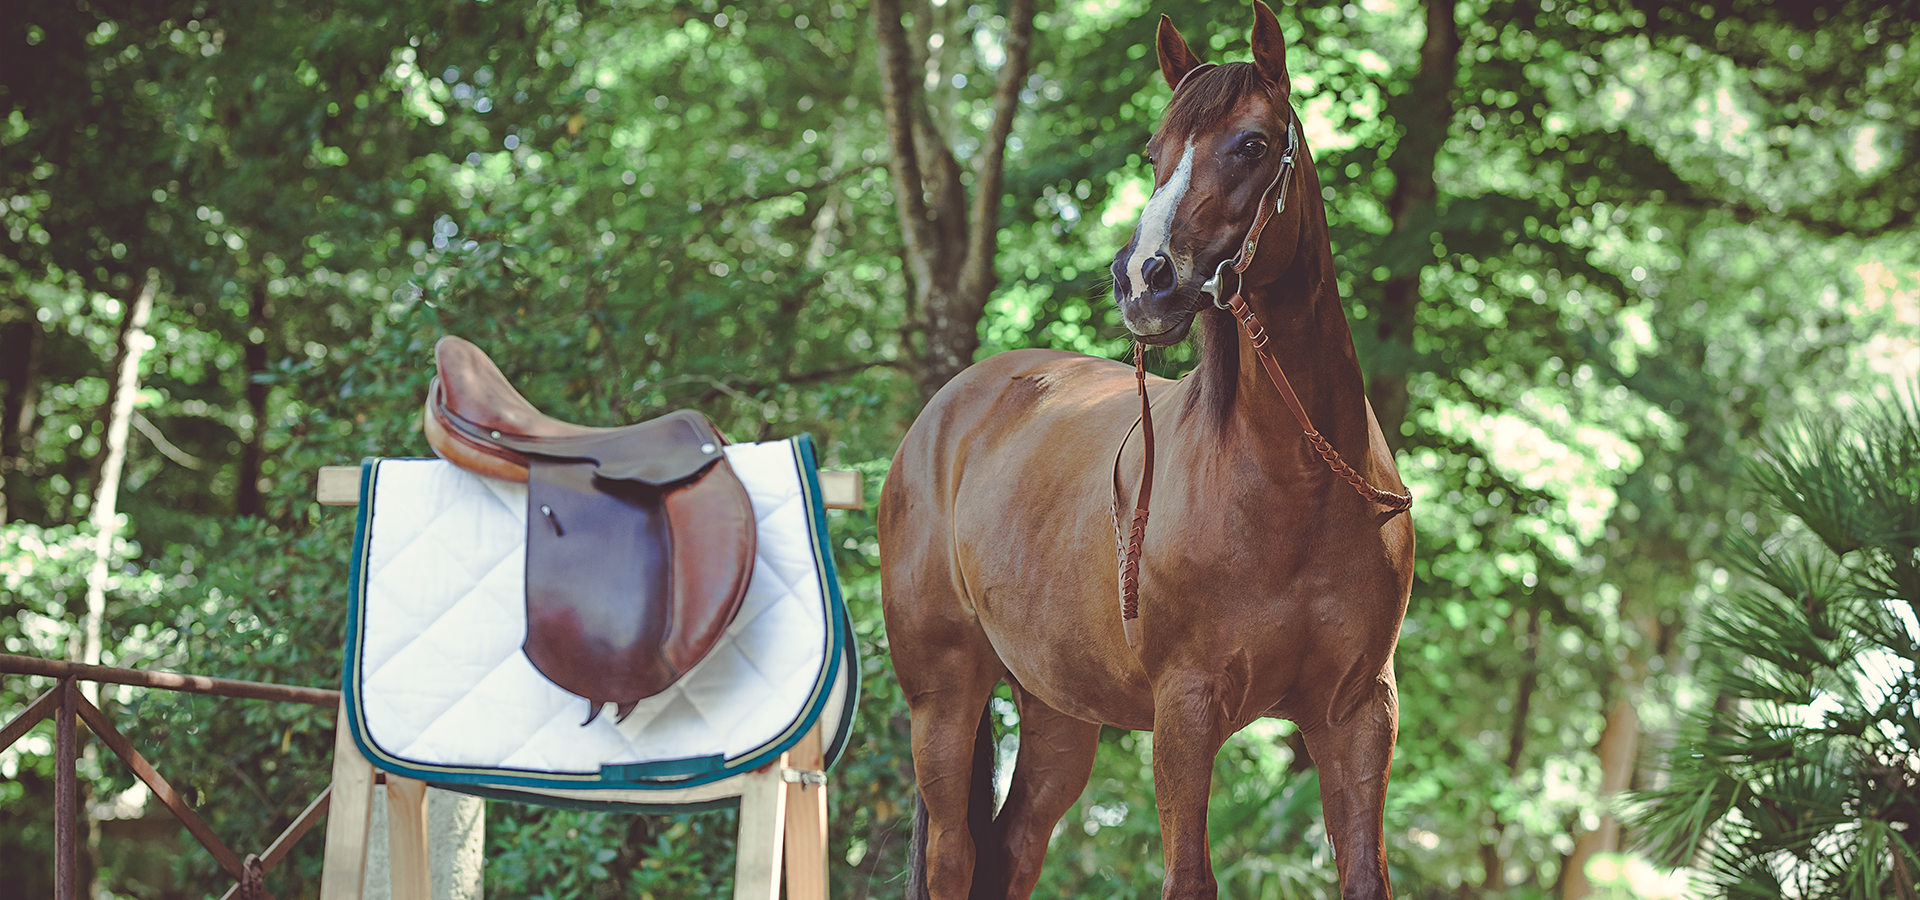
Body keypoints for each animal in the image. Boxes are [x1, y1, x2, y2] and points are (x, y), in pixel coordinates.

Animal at [876, 3, 1416, 898]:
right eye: (1155, 152)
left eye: (1253, 144)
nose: (1144, 279)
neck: (1297, 485)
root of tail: (944, 414)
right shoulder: (1186, 710)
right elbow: (1188, 877)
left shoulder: (1356, 714)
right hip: (944, 699)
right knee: (954, 854)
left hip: (1058, 711)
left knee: (1012, 849)